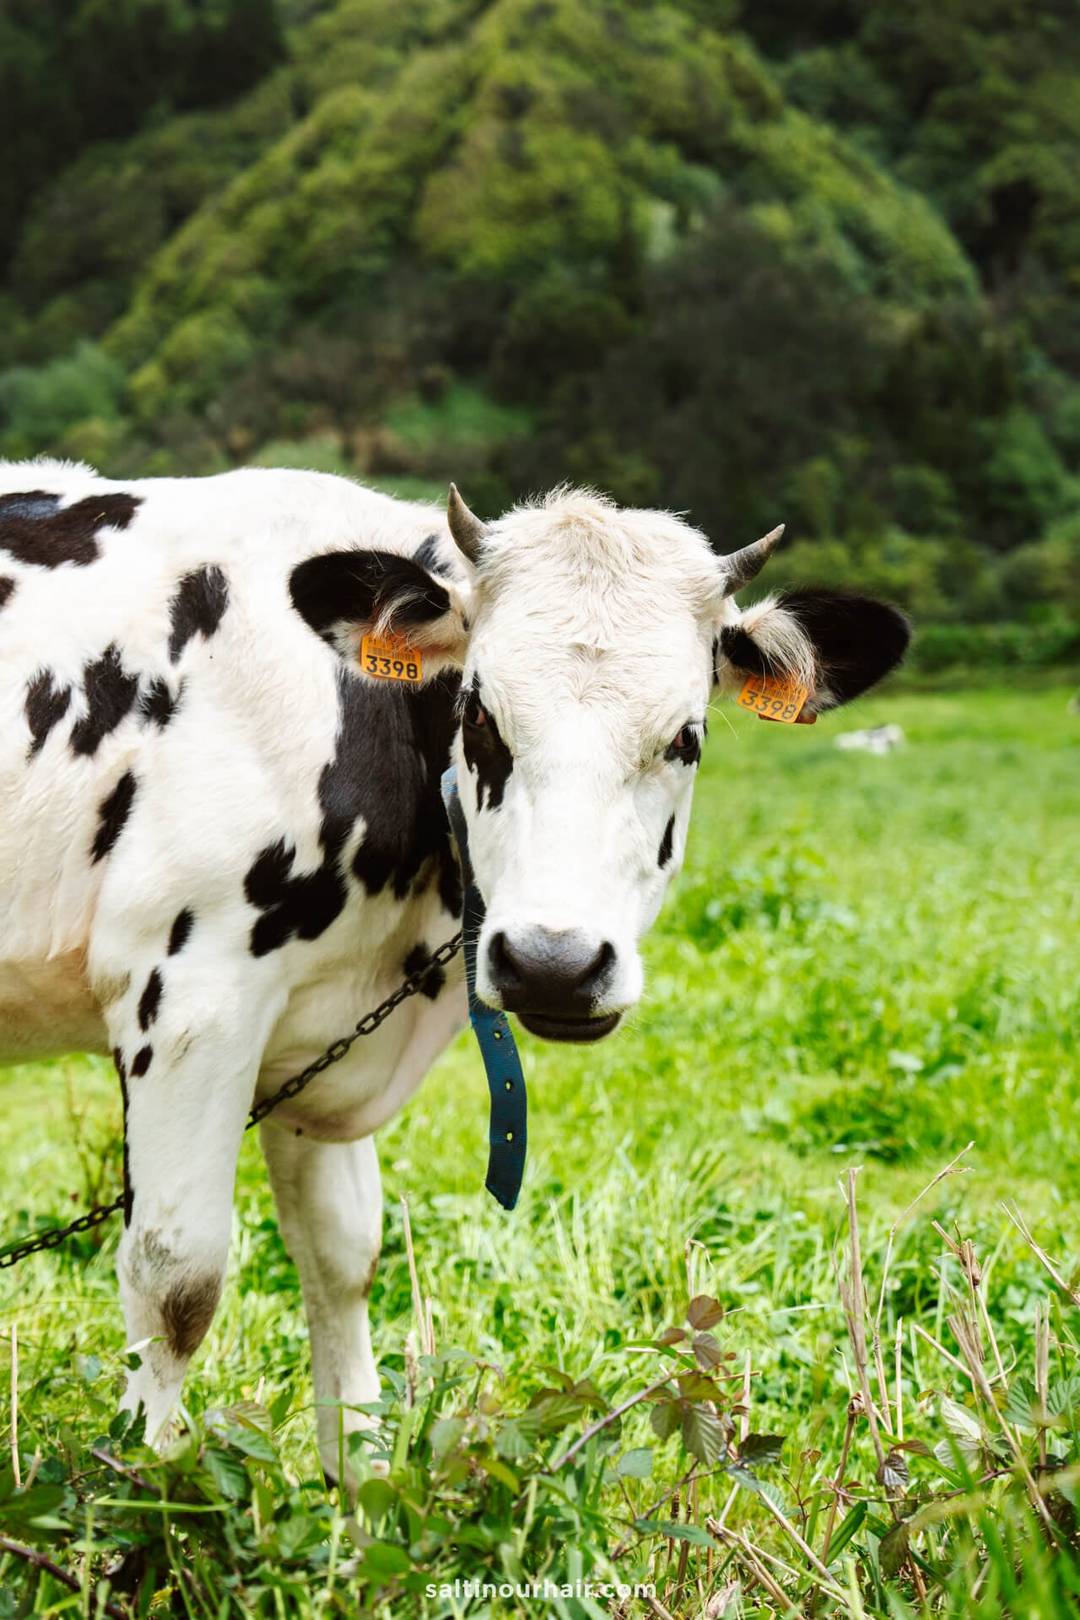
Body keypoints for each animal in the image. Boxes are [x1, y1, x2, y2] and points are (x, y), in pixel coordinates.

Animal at [0, 459, 909, 1479]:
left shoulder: (314, 1039)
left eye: (688, 737)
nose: (554, 964)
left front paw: (357, 1496)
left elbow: (343, 1256)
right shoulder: (192, 999)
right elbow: (176, 1278)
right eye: (479, 715)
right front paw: (137, 1499)